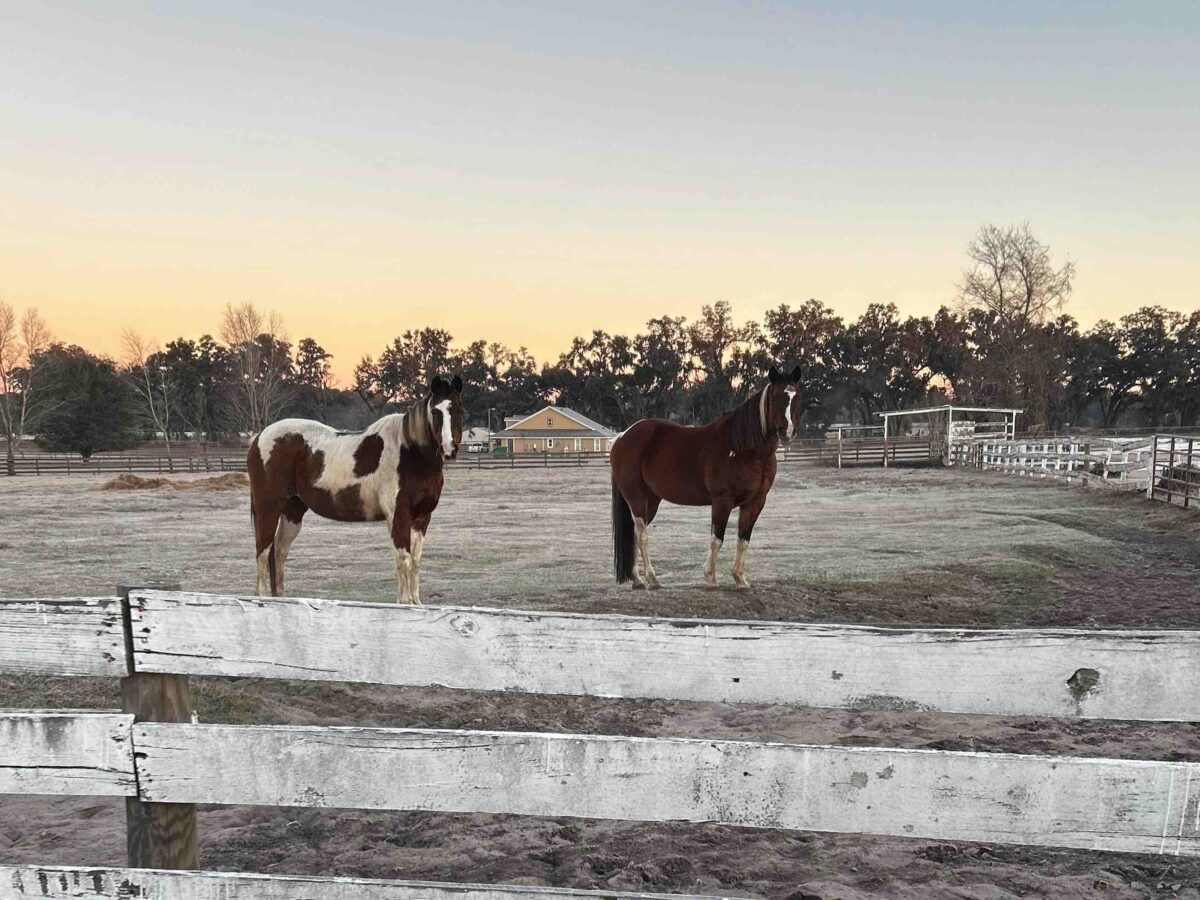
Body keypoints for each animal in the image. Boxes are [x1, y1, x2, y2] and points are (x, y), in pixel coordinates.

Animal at [246, 374, 460, 607]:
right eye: (435, 412)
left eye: (458, 410)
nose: (449, 449)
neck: (411, 453)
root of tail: (259, 438)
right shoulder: (399, 516)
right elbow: (404, 560)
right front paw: (404, 603)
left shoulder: (421, 518)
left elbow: (416, 560)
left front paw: (416, 603)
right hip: (268, 508)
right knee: (263, 551)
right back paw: (262, 598)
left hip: (292, 511)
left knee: (280, 552)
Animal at [614, 367, 801, 592]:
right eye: (774, 397)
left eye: (797, 397)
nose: (787, 431)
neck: (743, 449)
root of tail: (622, 437)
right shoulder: (722, 501)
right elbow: (716, 539)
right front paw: (710, 578)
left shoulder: (755, 502)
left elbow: (743, 540)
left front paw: (740, 579)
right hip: (637, 498)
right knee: (642, 536)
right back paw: (652, 579)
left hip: (651, 500)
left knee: (633, 534)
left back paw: (637, 579)